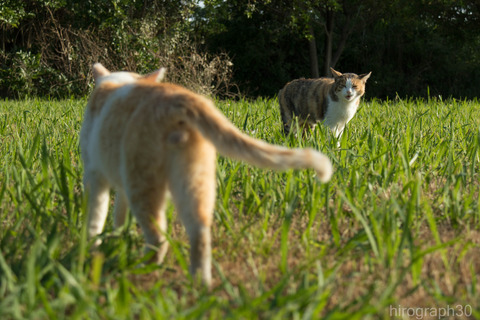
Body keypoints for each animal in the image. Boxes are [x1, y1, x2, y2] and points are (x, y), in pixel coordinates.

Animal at [79, 63, 334, 288]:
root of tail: (179, 99)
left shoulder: (94, 174)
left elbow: (95, 216)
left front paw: (91, 247)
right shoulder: (118, 182)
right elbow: (118, 215)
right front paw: (116, 236)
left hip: (142, 182)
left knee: (158, 236)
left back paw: (136, 269)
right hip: (194, 179)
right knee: (200, 230)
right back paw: (199, 284)